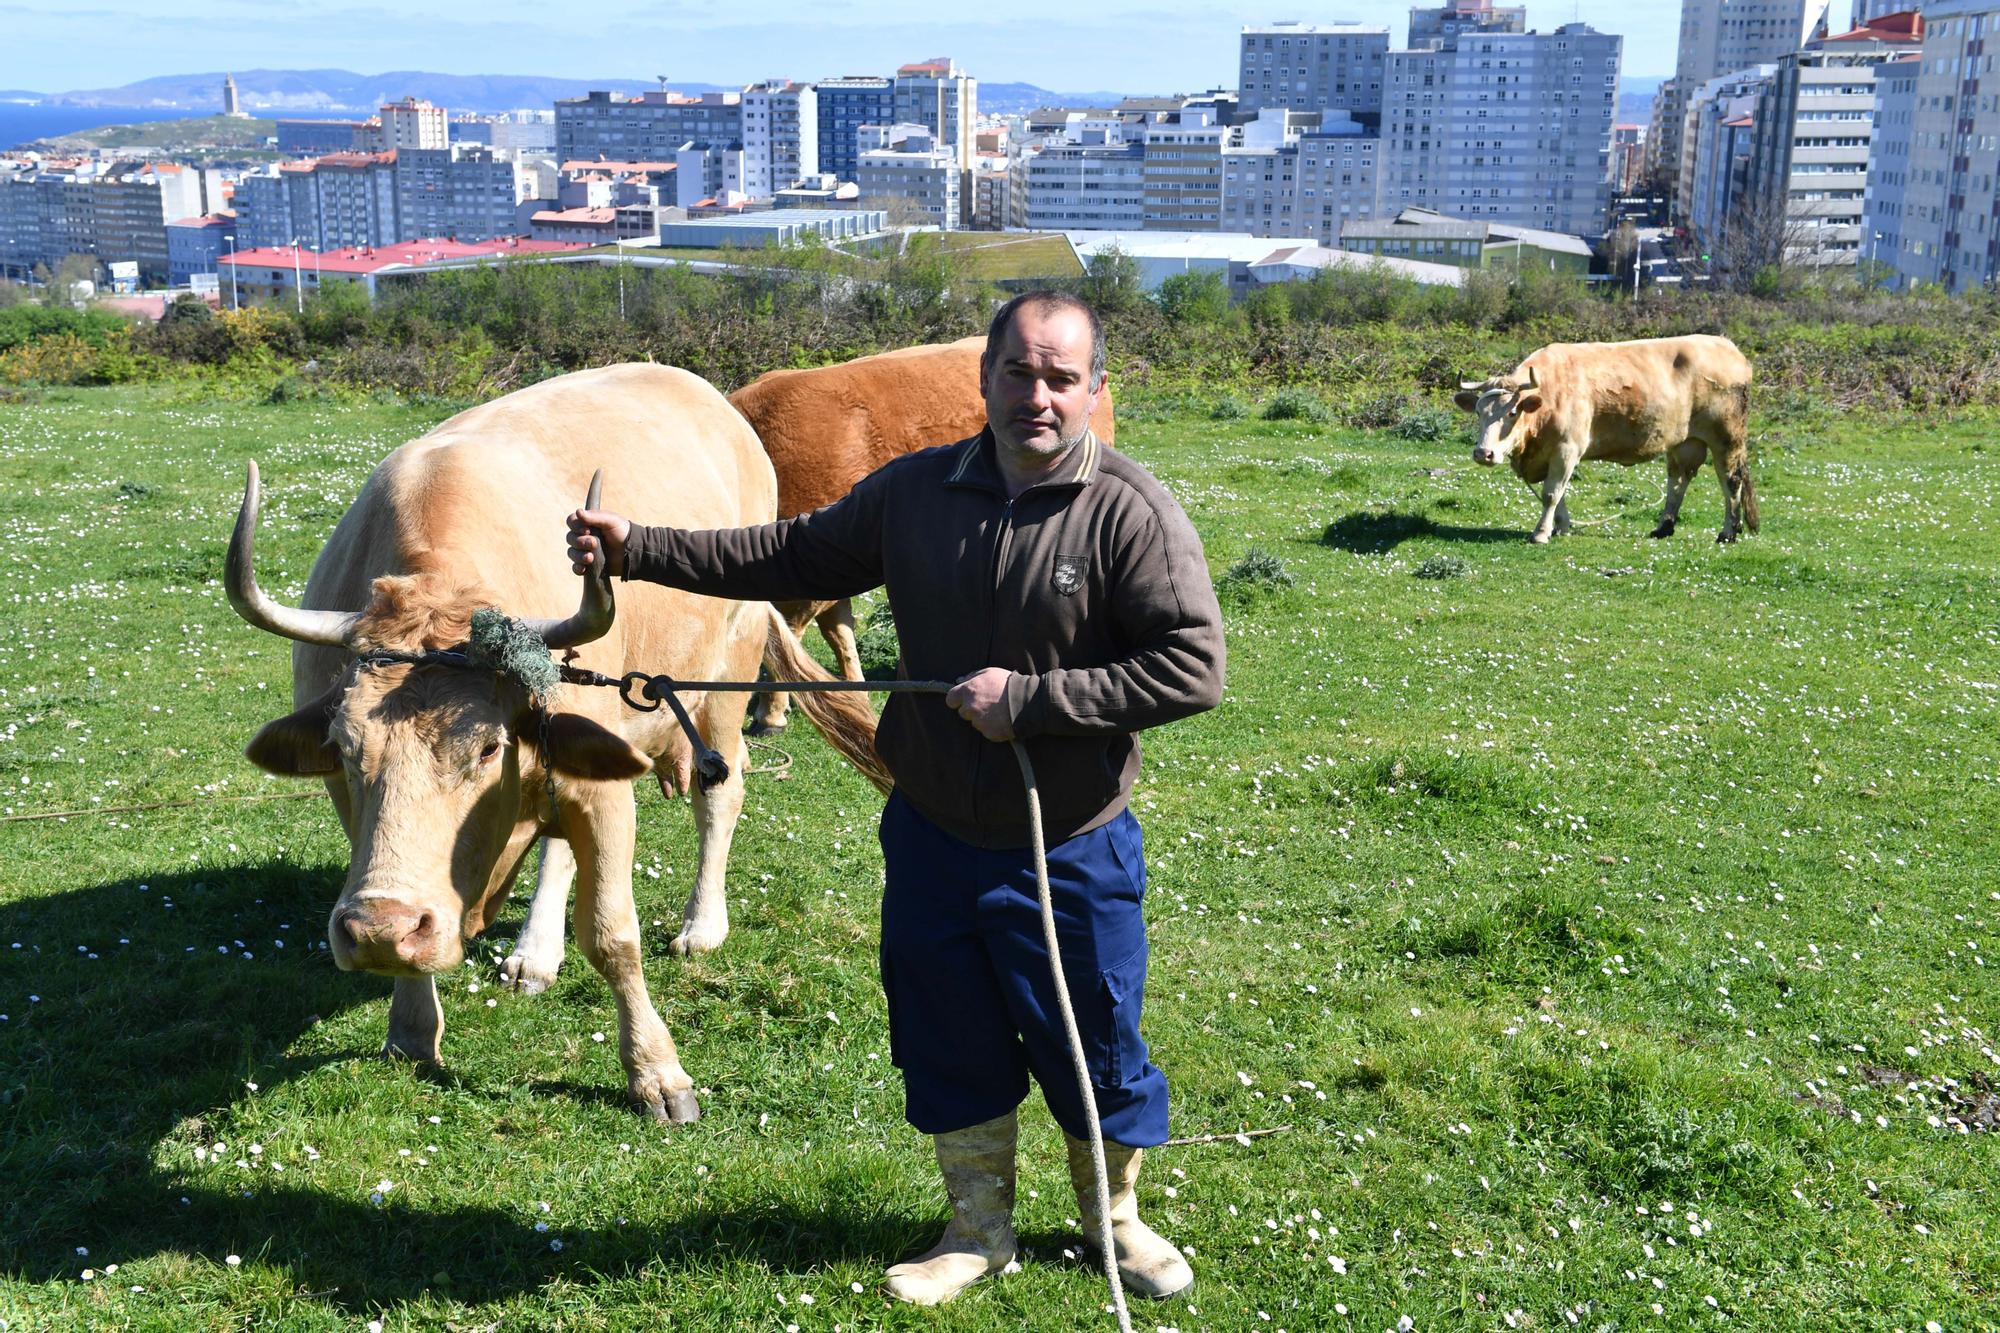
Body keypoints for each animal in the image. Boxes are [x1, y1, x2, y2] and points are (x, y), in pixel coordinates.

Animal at [227, 364, 892, 1120]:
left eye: (488, 747)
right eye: (342, 748)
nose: (376, 929)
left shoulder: (602, 790)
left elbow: (612, 934)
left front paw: (658, 1073)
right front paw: (411, 1026)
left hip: (729, 668)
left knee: (720, 796)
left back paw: (702, 924)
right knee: (559, 848)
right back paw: (535, 952)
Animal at [1448, 334, 1760, 544]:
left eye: (1512, 412)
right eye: (1479, 412)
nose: (1483, 454)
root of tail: (1728, 346)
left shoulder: (1566, 449)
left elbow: (1551, 493)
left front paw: (1541, 533)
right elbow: (1560, 494)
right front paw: (1561, 527)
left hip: (1726, 438)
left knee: (1731, 480)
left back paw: (1728, 532)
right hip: (1684, 441)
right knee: (1678, 480)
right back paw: (1664, 528)